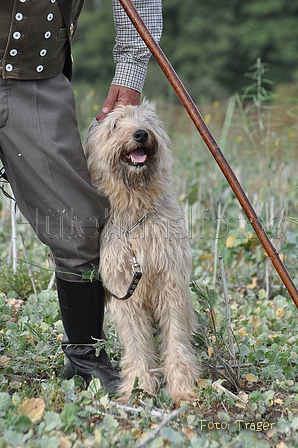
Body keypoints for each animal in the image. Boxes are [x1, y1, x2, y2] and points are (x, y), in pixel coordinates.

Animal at [84, 101, 200, 402]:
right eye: (115, 125)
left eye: (146, 120)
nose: (140, 133)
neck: (135, 212)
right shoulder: (125, 292)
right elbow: (136, 343)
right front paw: (138, 387)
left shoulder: (171, 283)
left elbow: (176, 337)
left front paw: (182, 386)